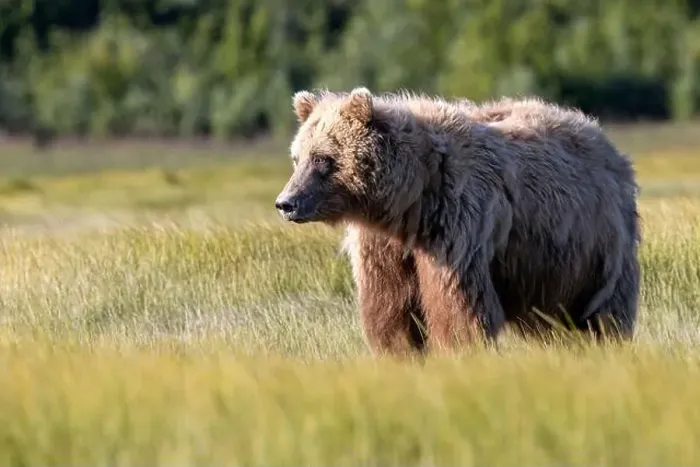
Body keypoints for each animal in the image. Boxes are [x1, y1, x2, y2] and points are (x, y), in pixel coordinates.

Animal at [275, 87, 641, 356]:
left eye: (323, 159)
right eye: (296, 157)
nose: (286, 203)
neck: (409, 204)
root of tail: (602, 138)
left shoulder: (456, 222)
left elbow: (458, 305)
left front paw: (461, 351)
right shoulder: (384, 246)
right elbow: (391, 308)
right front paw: (401, 352)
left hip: (596, 244)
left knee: (604, 307)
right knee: (552, 320)